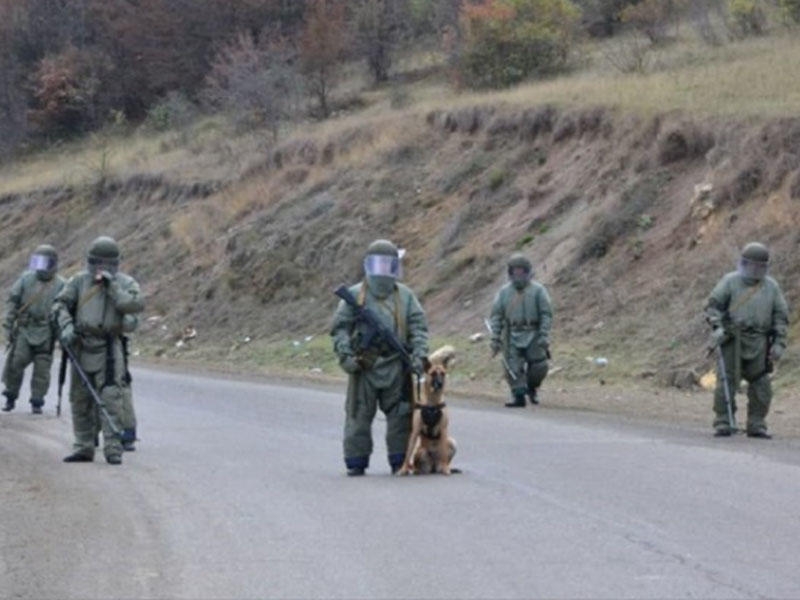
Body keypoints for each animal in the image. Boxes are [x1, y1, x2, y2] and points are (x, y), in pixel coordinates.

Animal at [398, 344, 456, 476]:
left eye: (443, 373)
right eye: (433, 373)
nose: (440, 383)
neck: (432, 403)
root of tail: (434, 466)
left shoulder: (443, 430)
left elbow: (444, 453)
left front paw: (446, 469)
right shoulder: (415, 431)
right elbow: (407, 454)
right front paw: (403, 469)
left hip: (452, 441)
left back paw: (446, 467)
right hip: (422, 452)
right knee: (416, 463)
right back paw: (417, 470)